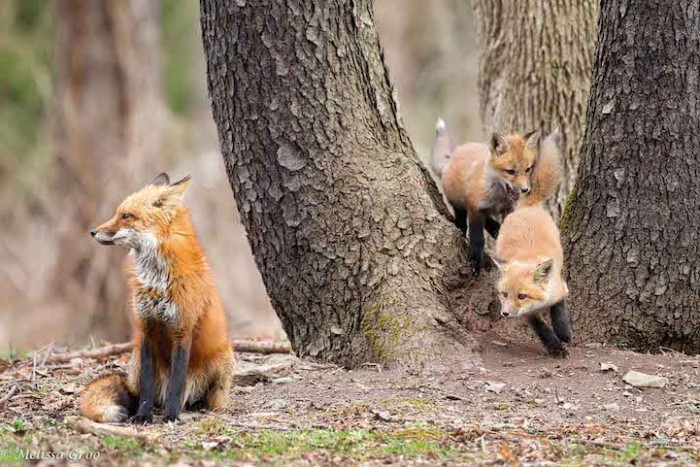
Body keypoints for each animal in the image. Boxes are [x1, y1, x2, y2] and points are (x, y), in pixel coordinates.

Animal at [81, 173, 235, 423]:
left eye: (126, 216)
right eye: (117, 213)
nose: (93, 231)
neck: (157, 281)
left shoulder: (182, 330)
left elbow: (176, 384)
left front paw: (171, 415)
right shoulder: (146, 328)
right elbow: (147, 386)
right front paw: (143, 416)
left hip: (224, 361)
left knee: (205, 398)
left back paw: (196, 406)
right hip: (135, 360)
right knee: (143, 393)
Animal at [430, 119, 561, 277]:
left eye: (528, 169)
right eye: (510, 171)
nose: (525, 189)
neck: (499, 197)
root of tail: (453, 156)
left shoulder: (508, 209)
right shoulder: (475, 204)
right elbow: (477, 237)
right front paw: (475, 261)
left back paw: (495, 229)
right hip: (458, 203)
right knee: (463, 220)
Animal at [492, 205, 572, 357]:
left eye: (522, 296)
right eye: (504, 294)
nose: (505, 313)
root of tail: (528, 207)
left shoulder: (560, 288)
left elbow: (559, 311)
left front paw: (563, 333)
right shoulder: (529, 314)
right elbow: (543, 330)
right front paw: (556, 348)